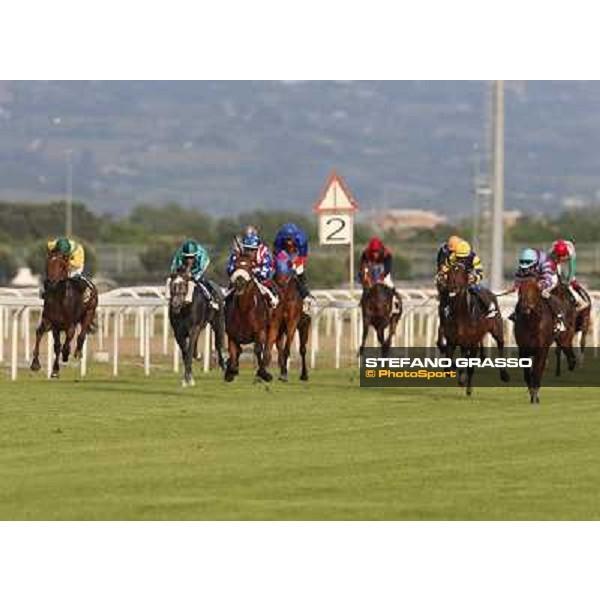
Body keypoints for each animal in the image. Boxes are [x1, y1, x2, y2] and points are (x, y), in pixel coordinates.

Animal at [225, 250, 272, 382]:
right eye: (235, 265)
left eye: (251, 266)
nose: (239, 282)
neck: (244, 310)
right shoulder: (232, 334)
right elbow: (233, 351)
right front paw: (230, 371)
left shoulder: (260, 331)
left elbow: (258, 349)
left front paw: (263, 373)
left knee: (267, 348)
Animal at [438, 262, 508, 394]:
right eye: (449, 273)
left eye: (461, 272)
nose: (452, 288)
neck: (462, 315)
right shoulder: (451, 340)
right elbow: (448, 365)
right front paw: (459, 374)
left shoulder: (473, 342)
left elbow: (470, 367)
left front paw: (468, 387)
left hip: (497, 328)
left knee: (501, 344)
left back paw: (504, 374)